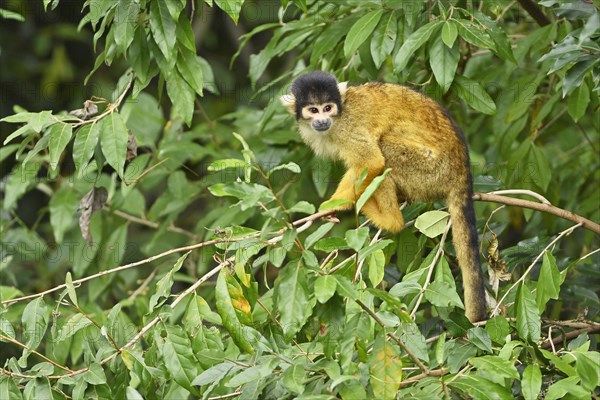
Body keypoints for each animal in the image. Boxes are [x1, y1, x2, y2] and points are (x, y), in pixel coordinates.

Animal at [282, 72, 488, 322]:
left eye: (327, 108)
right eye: (313, 110)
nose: (322, 120)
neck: (339, 116)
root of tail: (462, 168)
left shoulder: (347, 128)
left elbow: (370, 162)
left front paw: (333, 205)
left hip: (432, 170)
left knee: (384, 150)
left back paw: (390, 220)